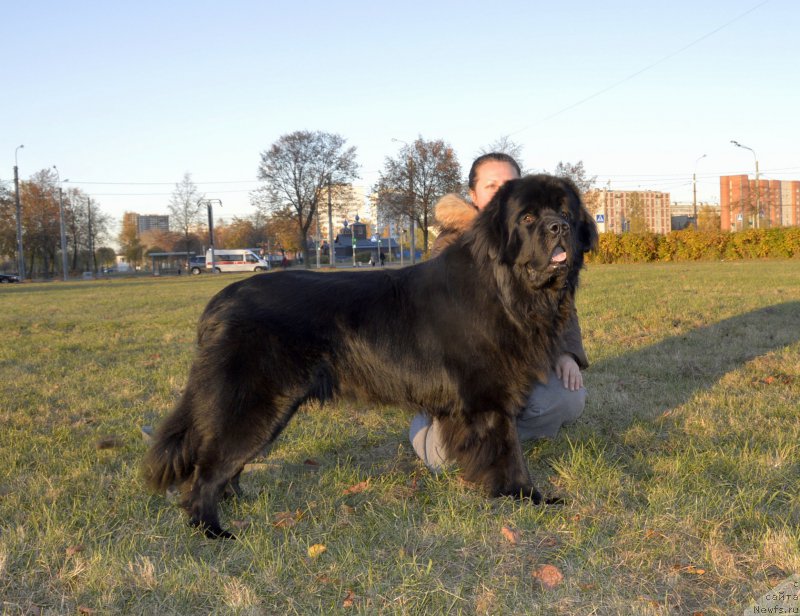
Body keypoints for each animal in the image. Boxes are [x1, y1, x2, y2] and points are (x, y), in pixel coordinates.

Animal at [144, 172, 596, 536]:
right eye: (528, 219)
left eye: (565, 211)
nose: (560, 227)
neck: (507, 289)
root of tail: (218, 303)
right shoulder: (488, 400)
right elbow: (509, 450)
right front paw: (527, 497)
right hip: (253, 403)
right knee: (208, 469)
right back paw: (212, 530)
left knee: (227, 463)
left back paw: (240, 502)